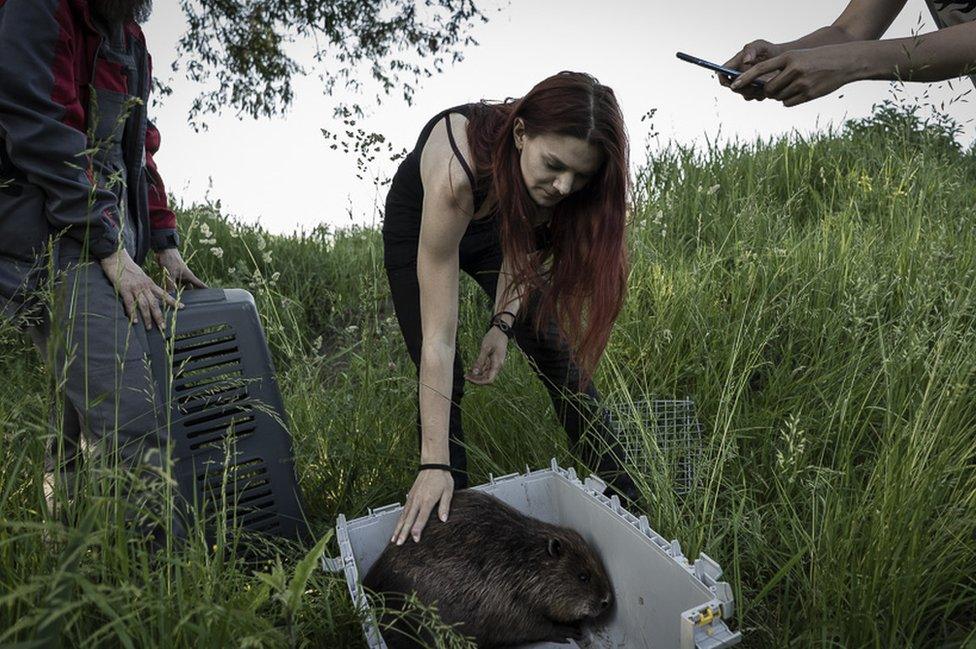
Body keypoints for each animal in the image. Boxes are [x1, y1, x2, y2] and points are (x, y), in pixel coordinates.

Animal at [362, 488, 612, 644]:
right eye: (583, 576)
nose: (606, 601)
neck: (518, 559)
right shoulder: (497, 598)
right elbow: (526, 625)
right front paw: (568, 630)